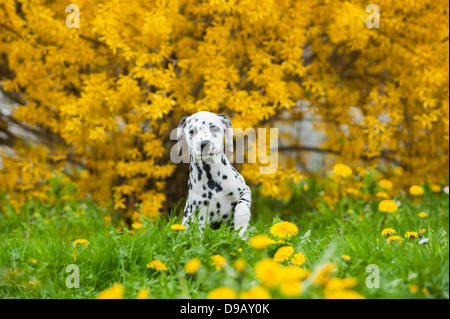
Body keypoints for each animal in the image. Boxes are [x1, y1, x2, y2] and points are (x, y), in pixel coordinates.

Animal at [177, 111, 253, 239]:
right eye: (192, 131)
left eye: (214, 128)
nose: (204, 143)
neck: (210, 176)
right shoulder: (201, 212)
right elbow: (200, 232)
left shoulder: (245, 191)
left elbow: (242, 207)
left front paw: (241, 229)